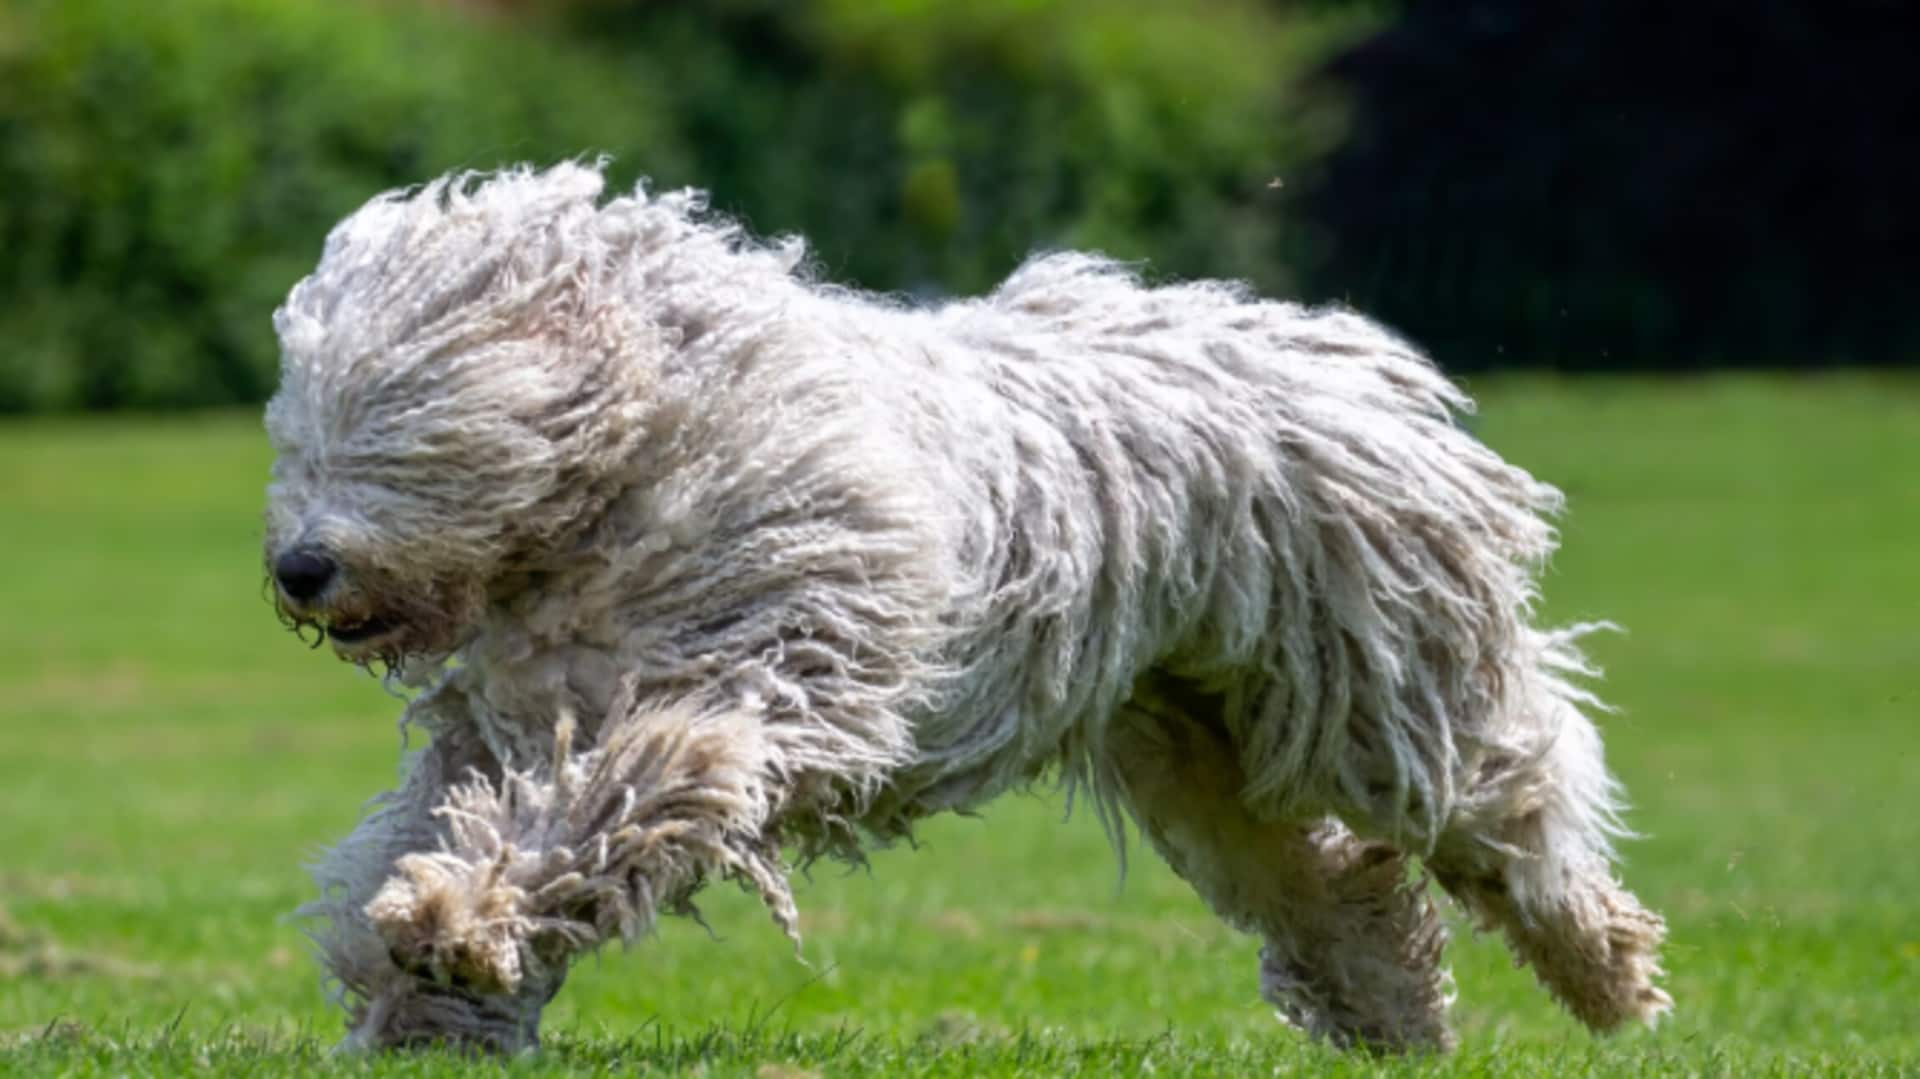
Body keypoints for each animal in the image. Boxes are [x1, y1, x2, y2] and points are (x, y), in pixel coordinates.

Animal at [266, 161, 1666, 1052]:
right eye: (299, 430)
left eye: (400, 427)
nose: (298, 568)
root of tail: (1347, 361)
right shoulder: (506, 717)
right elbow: (441, 820)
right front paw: (426, 992)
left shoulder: (753, 680)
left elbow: (613, 797)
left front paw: (458, 917)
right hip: (1193, 730)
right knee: (1324, 879)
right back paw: (1396, 1006)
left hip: (1376, 687)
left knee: (1510, 797)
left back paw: (1601, 963)